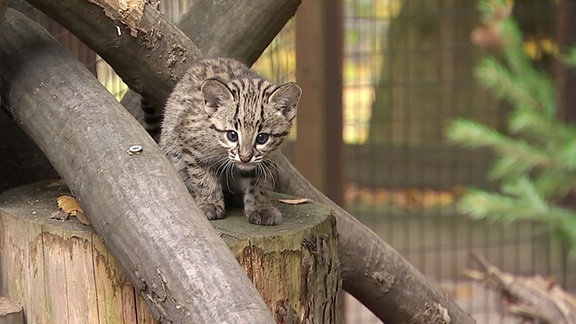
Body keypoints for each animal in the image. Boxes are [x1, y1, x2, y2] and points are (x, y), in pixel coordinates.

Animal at [158, 57, 302, 225]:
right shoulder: (191, 144)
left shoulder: (266, 159)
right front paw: (210, 203)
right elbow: (203, 177)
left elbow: (259, 182)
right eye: (232, 135)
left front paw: (260, 207)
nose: (245, 158)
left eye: (262, 138)